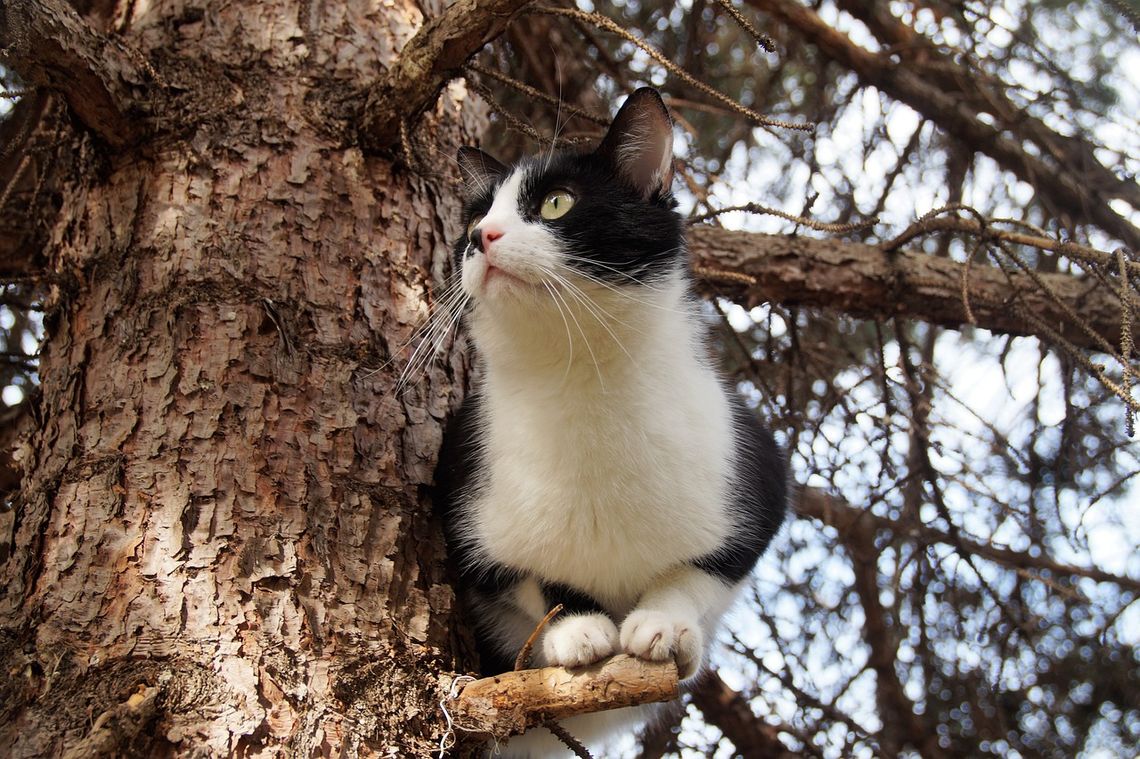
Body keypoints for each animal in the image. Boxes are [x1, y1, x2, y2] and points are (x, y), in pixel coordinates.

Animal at [430, 88, 788, 756]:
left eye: (557, 202)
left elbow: (706, 567)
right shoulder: (463, 504)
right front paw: (579, 630)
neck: (583, 386)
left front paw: (663, 624)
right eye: (471, 223)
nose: (482, 238)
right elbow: (532, 577)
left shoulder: (758, 473)